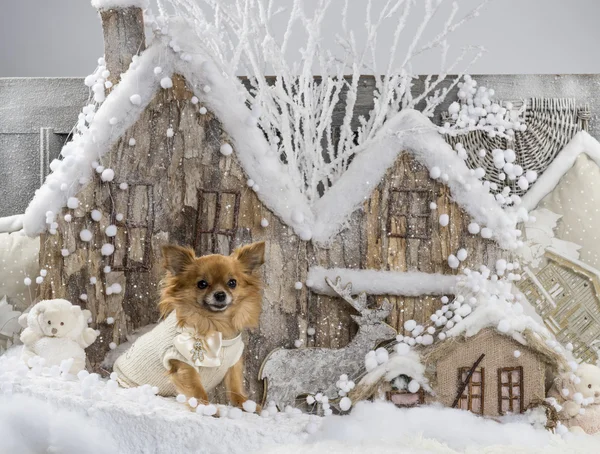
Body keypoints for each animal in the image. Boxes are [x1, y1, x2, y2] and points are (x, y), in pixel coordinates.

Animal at [115, 243, 264, 410]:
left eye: (232, 283)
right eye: (202, 284)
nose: (220, 294)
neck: (216, 324)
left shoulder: (234, 362)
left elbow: (235, 385)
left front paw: (246, 405)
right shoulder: (183, 363)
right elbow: (196, 389)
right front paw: (206, 409)